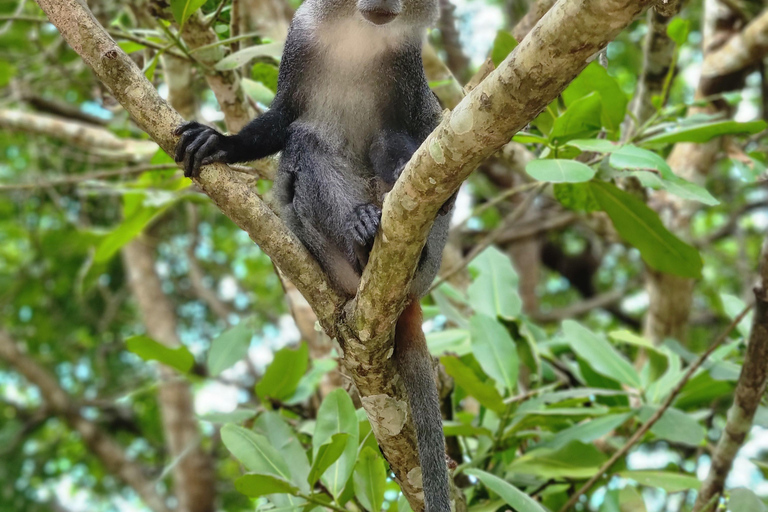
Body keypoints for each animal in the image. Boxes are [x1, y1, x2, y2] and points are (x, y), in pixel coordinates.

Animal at [175, 0, 452, 508]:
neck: (358, 35)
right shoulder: (301, 38)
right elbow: (285, 119)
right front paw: (220, 142)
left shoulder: (406, 65)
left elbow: (408, 131)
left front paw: (408, 169)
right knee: (303, 145)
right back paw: (359, 233)